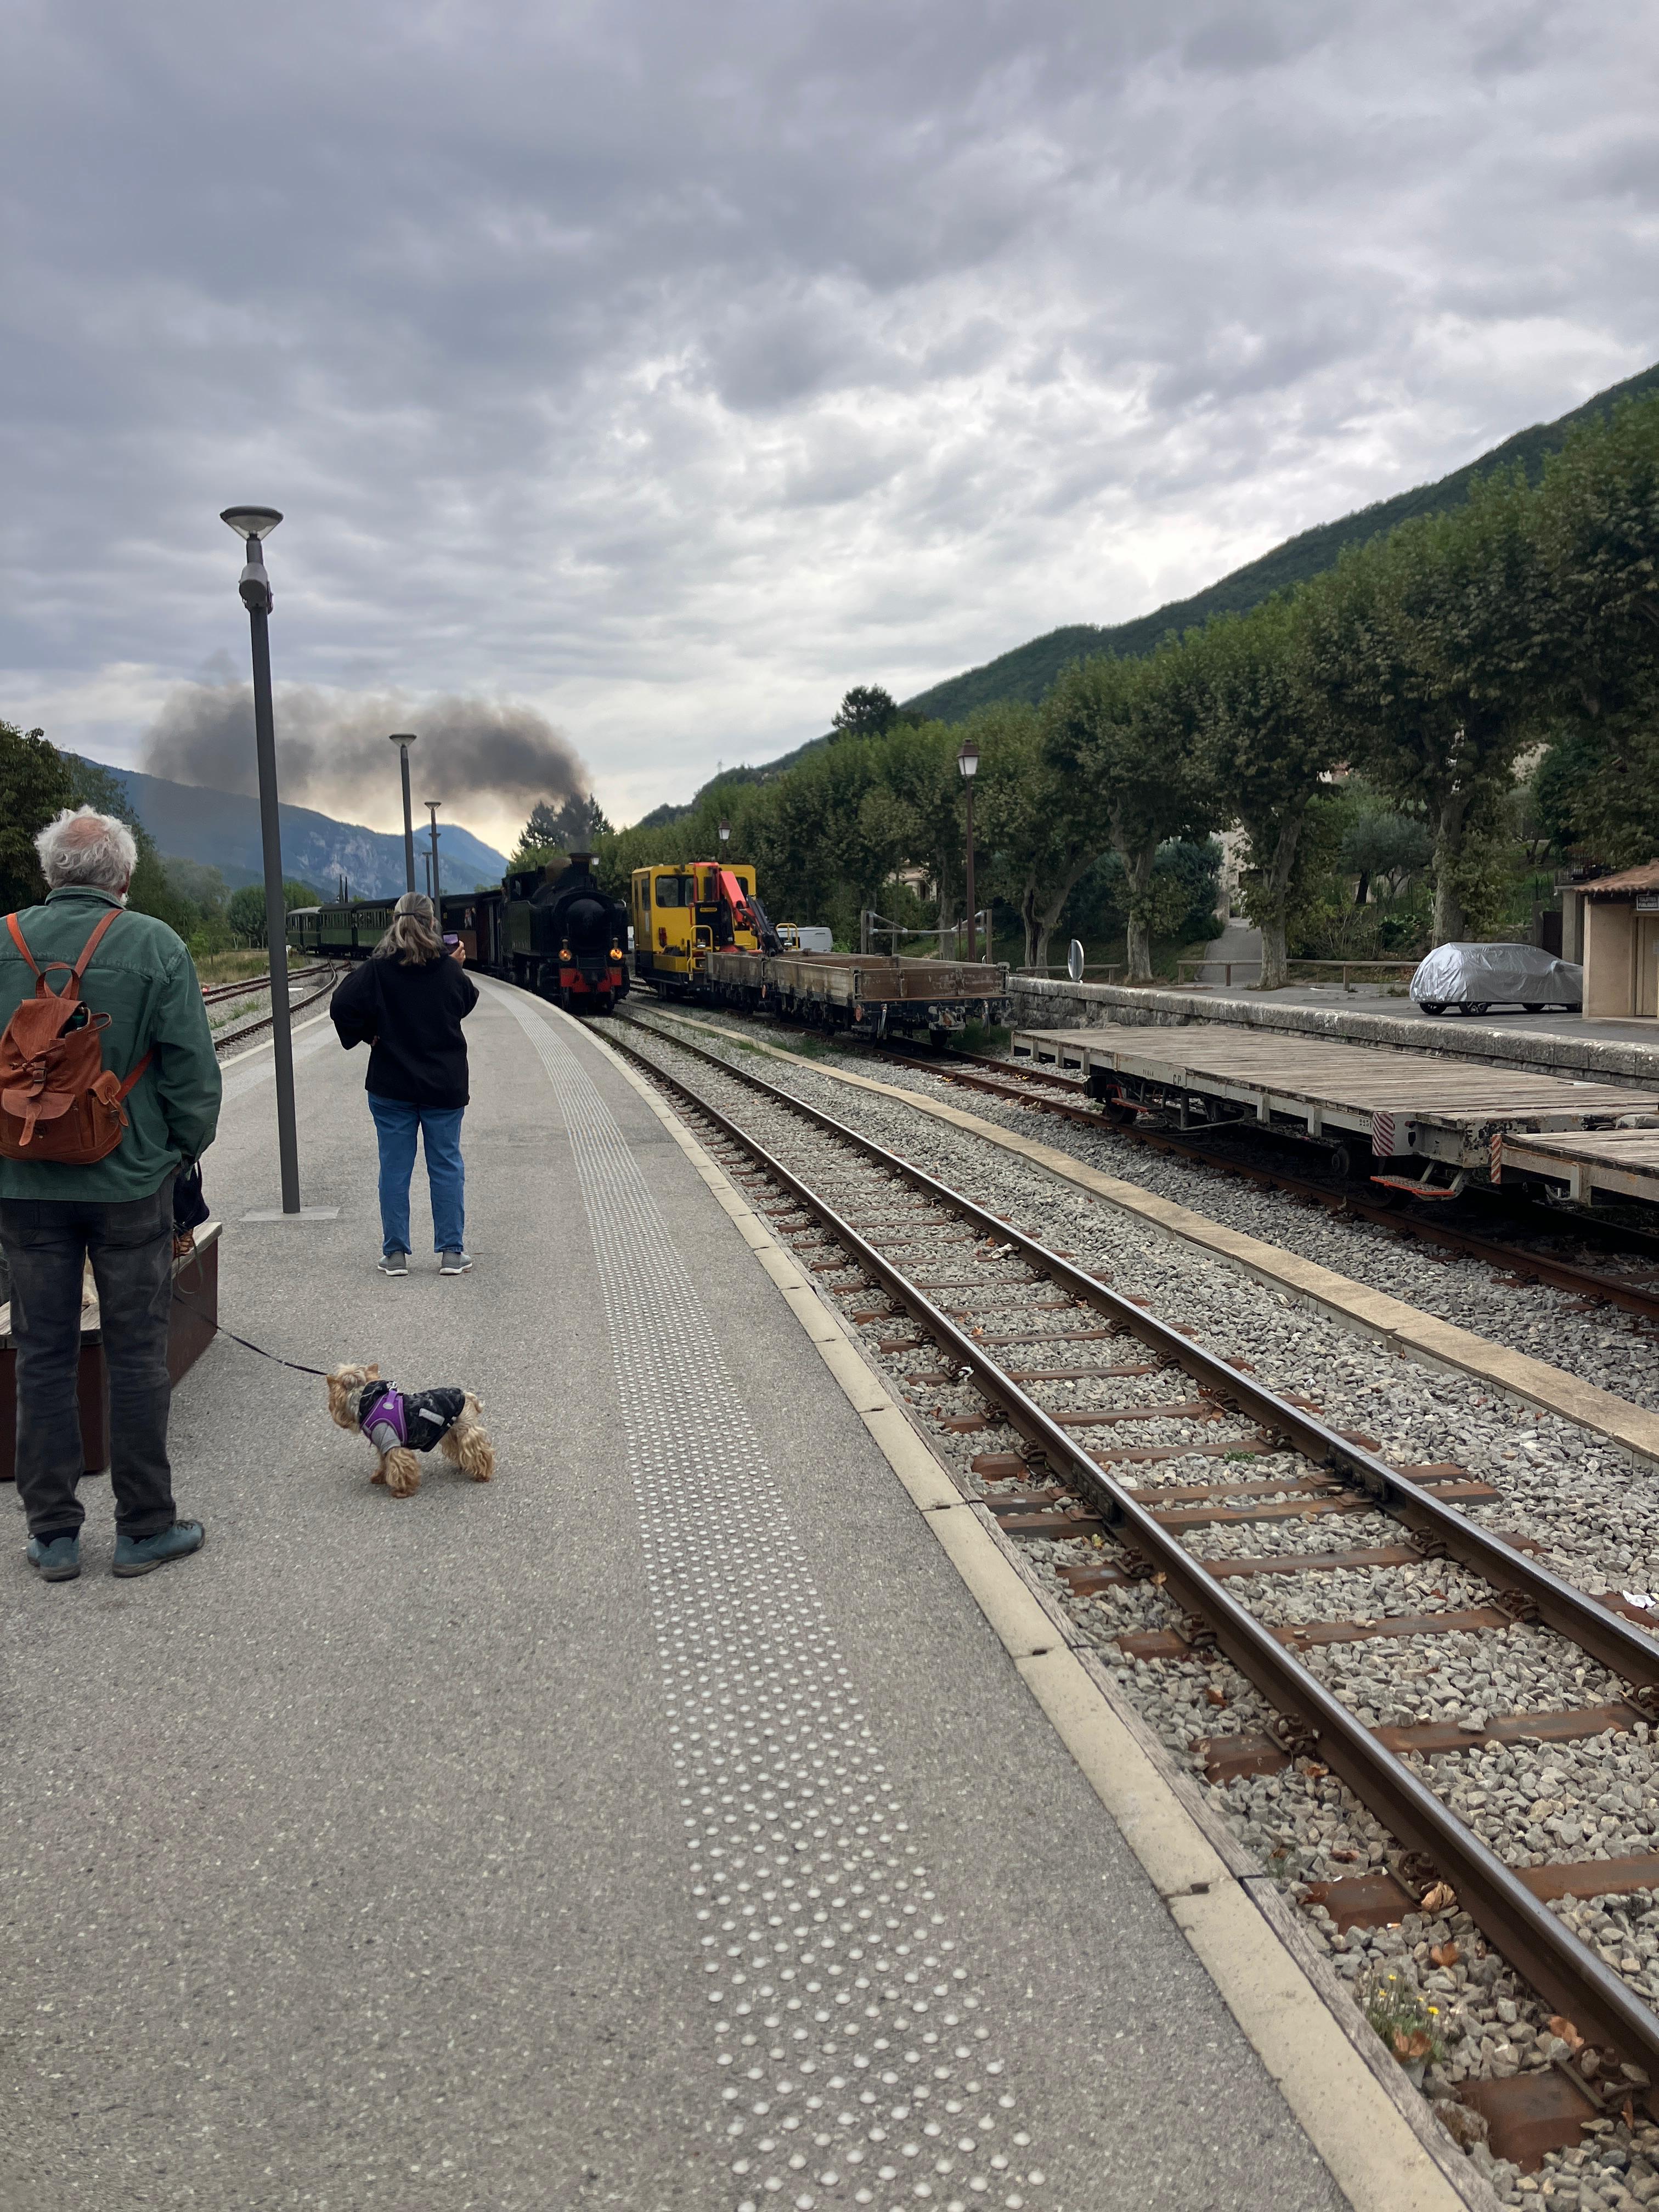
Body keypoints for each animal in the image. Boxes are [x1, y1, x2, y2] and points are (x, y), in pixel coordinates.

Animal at [326, 1363, 495, 1498]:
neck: (367, 1401)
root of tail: (466, 1395)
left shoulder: (392, 1443)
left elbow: (400, 1467)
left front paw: (402, 1491)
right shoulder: (383, 1445)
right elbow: (384, 1463)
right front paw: (379, 1477)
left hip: (465, 1429)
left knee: (478, 1450)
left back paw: (482, 1474)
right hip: (450, 1430)